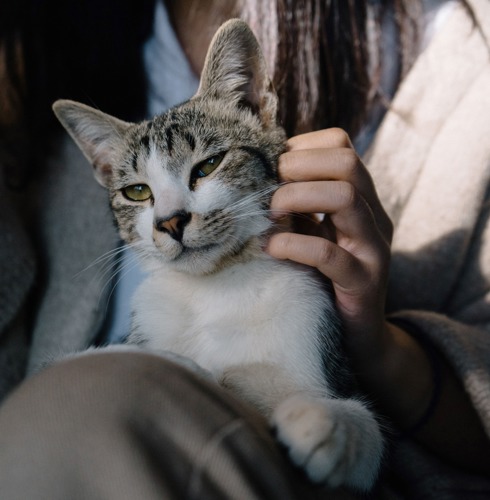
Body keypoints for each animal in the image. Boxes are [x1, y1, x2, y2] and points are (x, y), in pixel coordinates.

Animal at [52, 18, 382, 488]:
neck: (215, 289)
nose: (170, 221)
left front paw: (327, 422)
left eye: (208, 166)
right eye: (138, 192)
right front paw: (174, 362)